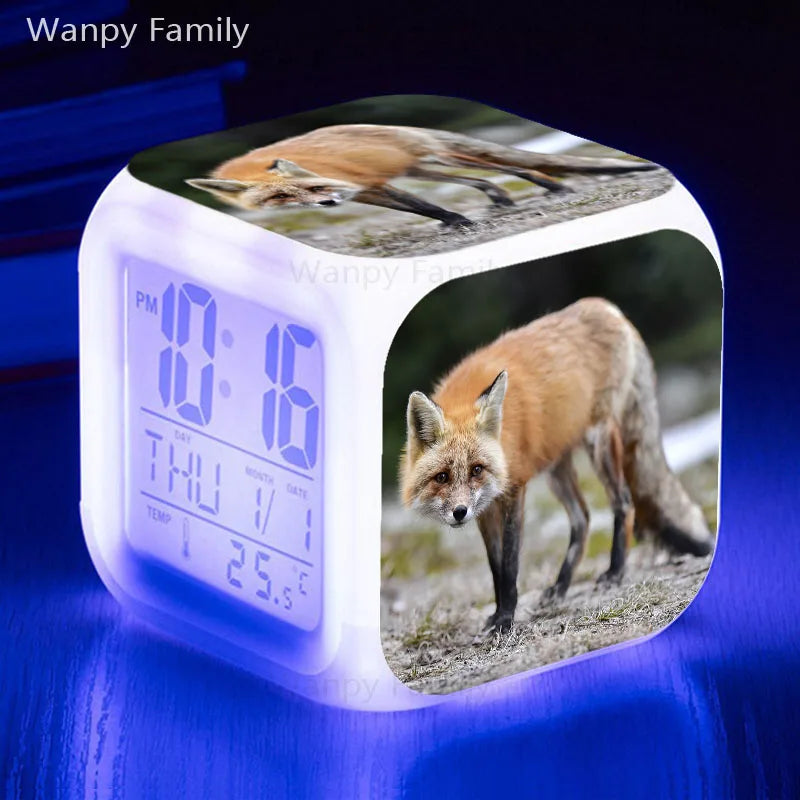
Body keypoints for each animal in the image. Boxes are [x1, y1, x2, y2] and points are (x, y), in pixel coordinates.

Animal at [400, 298, 714, 633]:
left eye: (476, 469)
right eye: (442, 477)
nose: (460, 513)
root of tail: (606, 307)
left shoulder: (514, 490)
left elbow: (509, 566)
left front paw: (506, 618)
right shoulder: (485, 506)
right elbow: (495, 567)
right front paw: (498, 614)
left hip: (598, 442)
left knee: (624, 503)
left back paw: (615, 572)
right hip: (556, 469)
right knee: (583, 519)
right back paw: (561, 586)